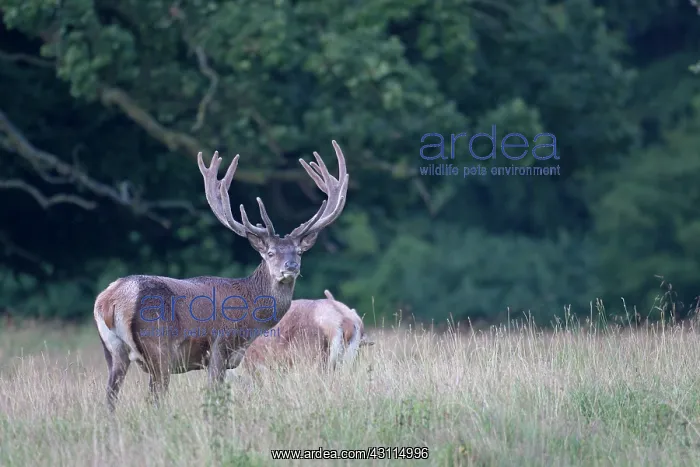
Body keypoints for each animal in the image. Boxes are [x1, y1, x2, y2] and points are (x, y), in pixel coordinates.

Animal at [93, 141, 349, 412]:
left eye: (299, 252)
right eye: (270, 253)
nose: (290, 266)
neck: (250, 320)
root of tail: (109, 301)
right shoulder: (219, 346)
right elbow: (215, 395)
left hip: (113, 352)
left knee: (110, 398)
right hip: (158, 347)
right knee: (154, 399)